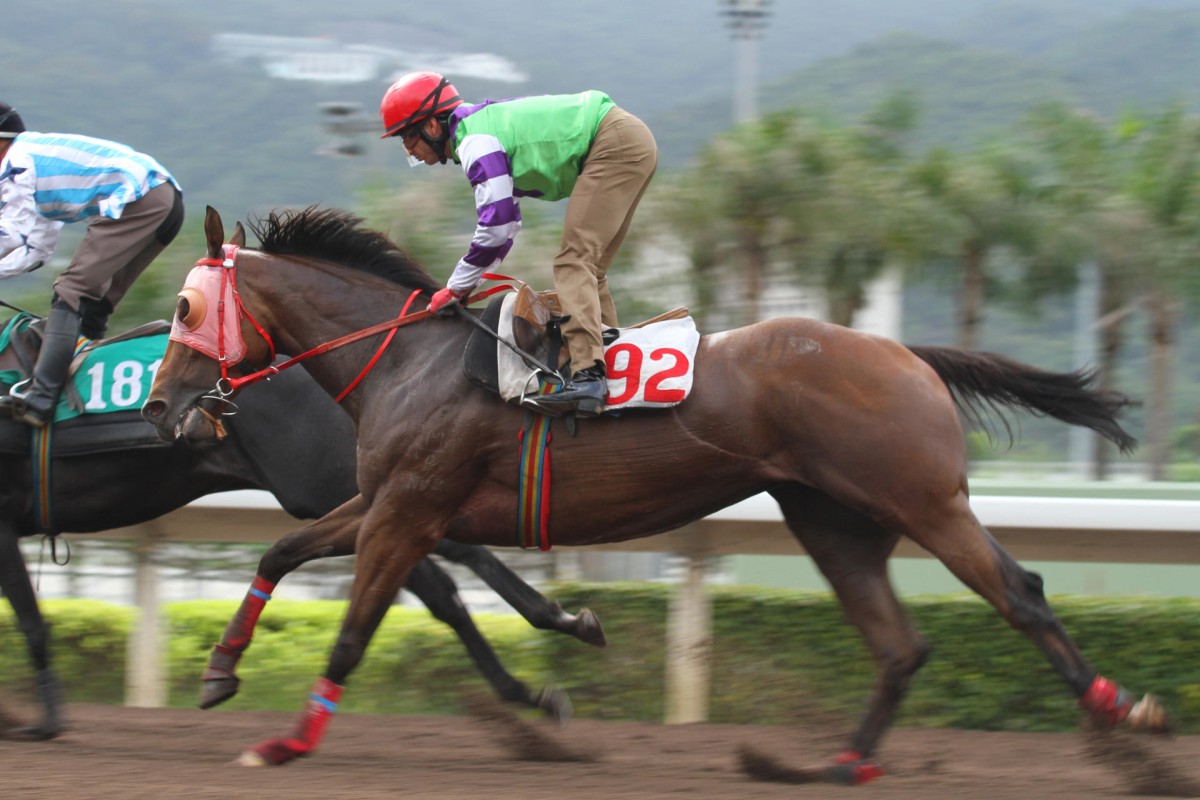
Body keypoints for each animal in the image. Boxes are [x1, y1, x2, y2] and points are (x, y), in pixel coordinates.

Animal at [145, 206, 1166, 782]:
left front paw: (286, 745)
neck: (408, 358)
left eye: (187, 310)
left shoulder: (408, 511)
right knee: (901, 645)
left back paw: (1128, 718)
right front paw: (220, 671)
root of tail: (904, 352)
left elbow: (354, 633)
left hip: (923, 501)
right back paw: (838, 766)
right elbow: (281, 550)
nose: (161, 408)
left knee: (1019, 594)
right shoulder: (388, 502)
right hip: (833, 522)